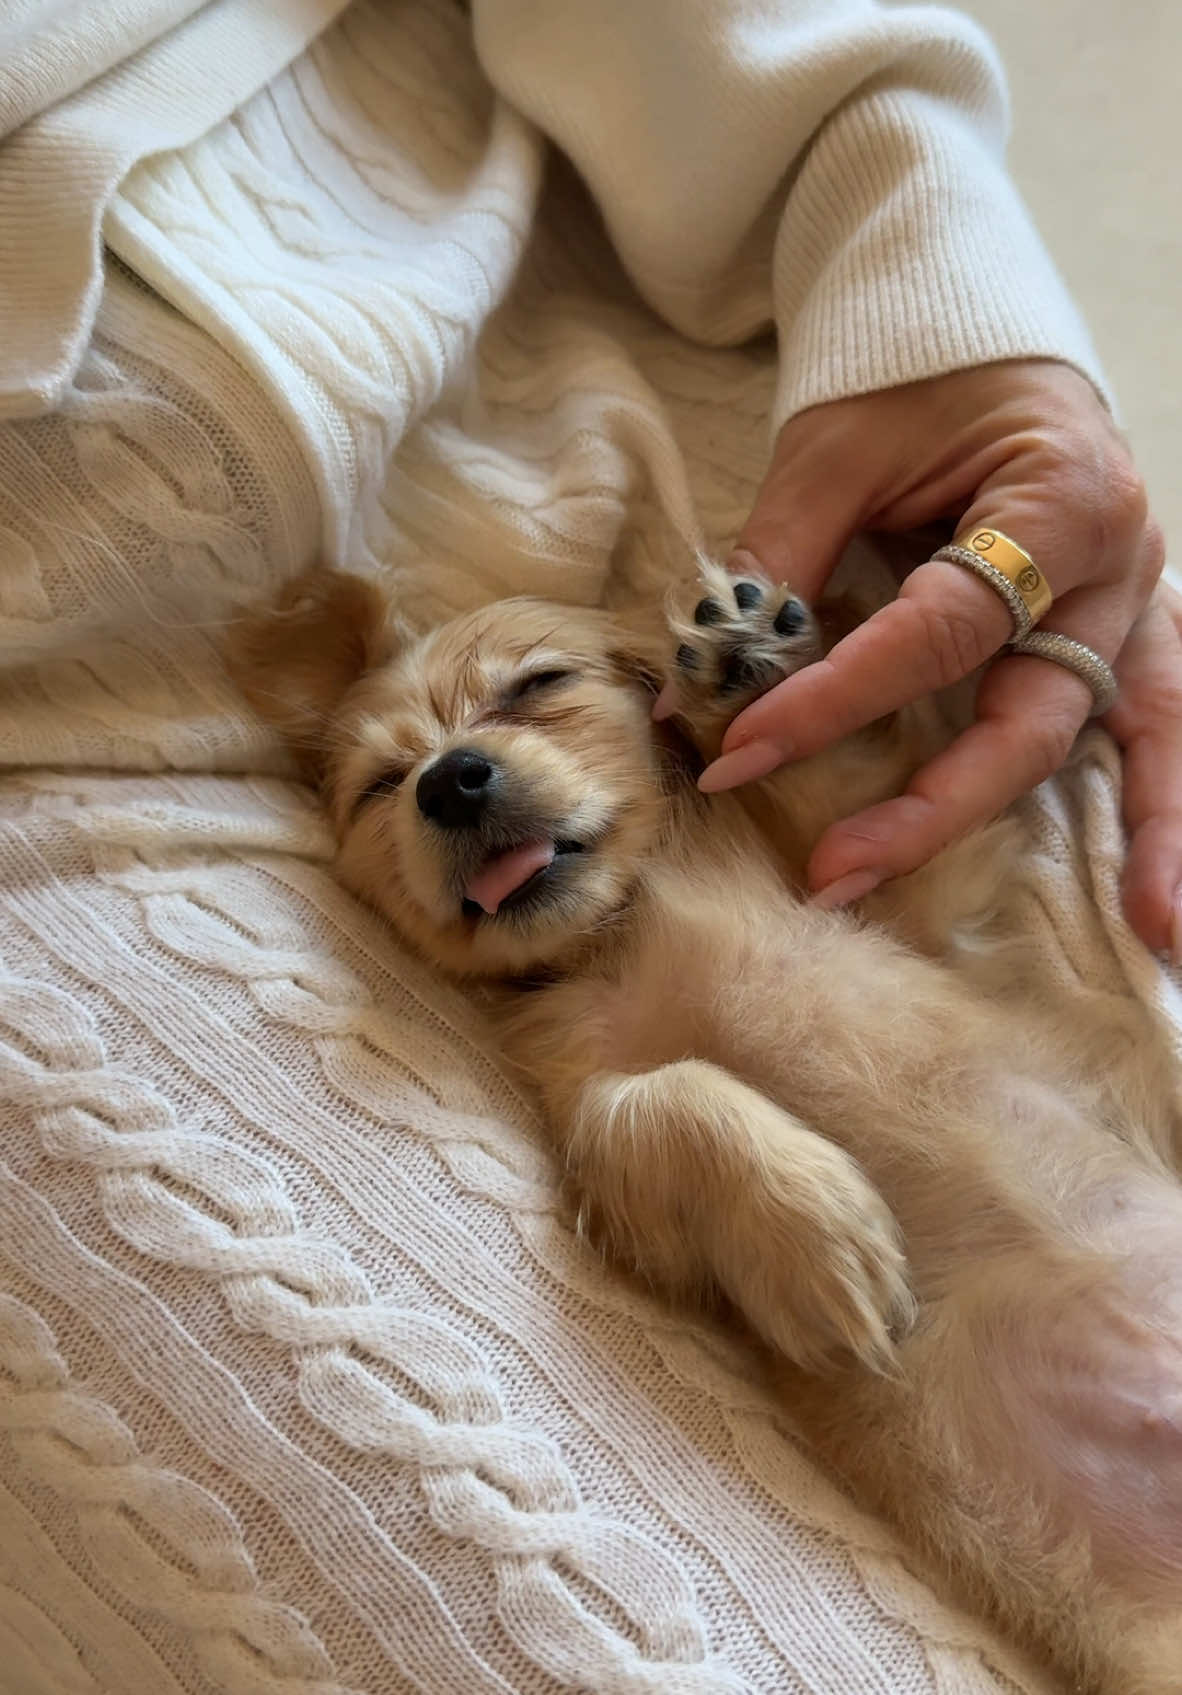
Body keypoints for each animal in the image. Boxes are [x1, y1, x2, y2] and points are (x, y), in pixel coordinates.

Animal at [230, 562, 1180, 1688]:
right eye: (381, 787)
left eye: (538, 684)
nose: (447, 779)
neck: (628, 924)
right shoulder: (591, 1106)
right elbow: (660, 1100)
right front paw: (817, 1232)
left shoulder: (907, 893)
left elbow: (852, 789)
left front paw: (742, 667)